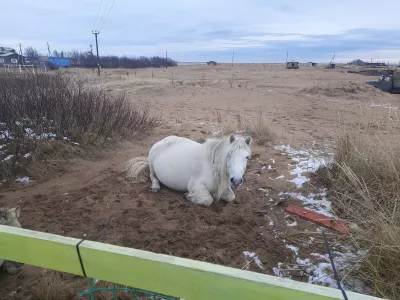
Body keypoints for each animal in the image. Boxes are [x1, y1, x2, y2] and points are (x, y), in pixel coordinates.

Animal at [123, 134, 252, 206]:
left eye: (247, 157)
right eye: (229, 154)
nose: (236, 180)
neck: (212, 167)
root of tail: (162, 141)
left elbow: (231, 197)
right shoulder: (195, 185)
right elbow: (207, 200)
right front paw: (188, 196)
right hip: (151, 165)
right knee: (152, 176)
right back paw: (155, 187)